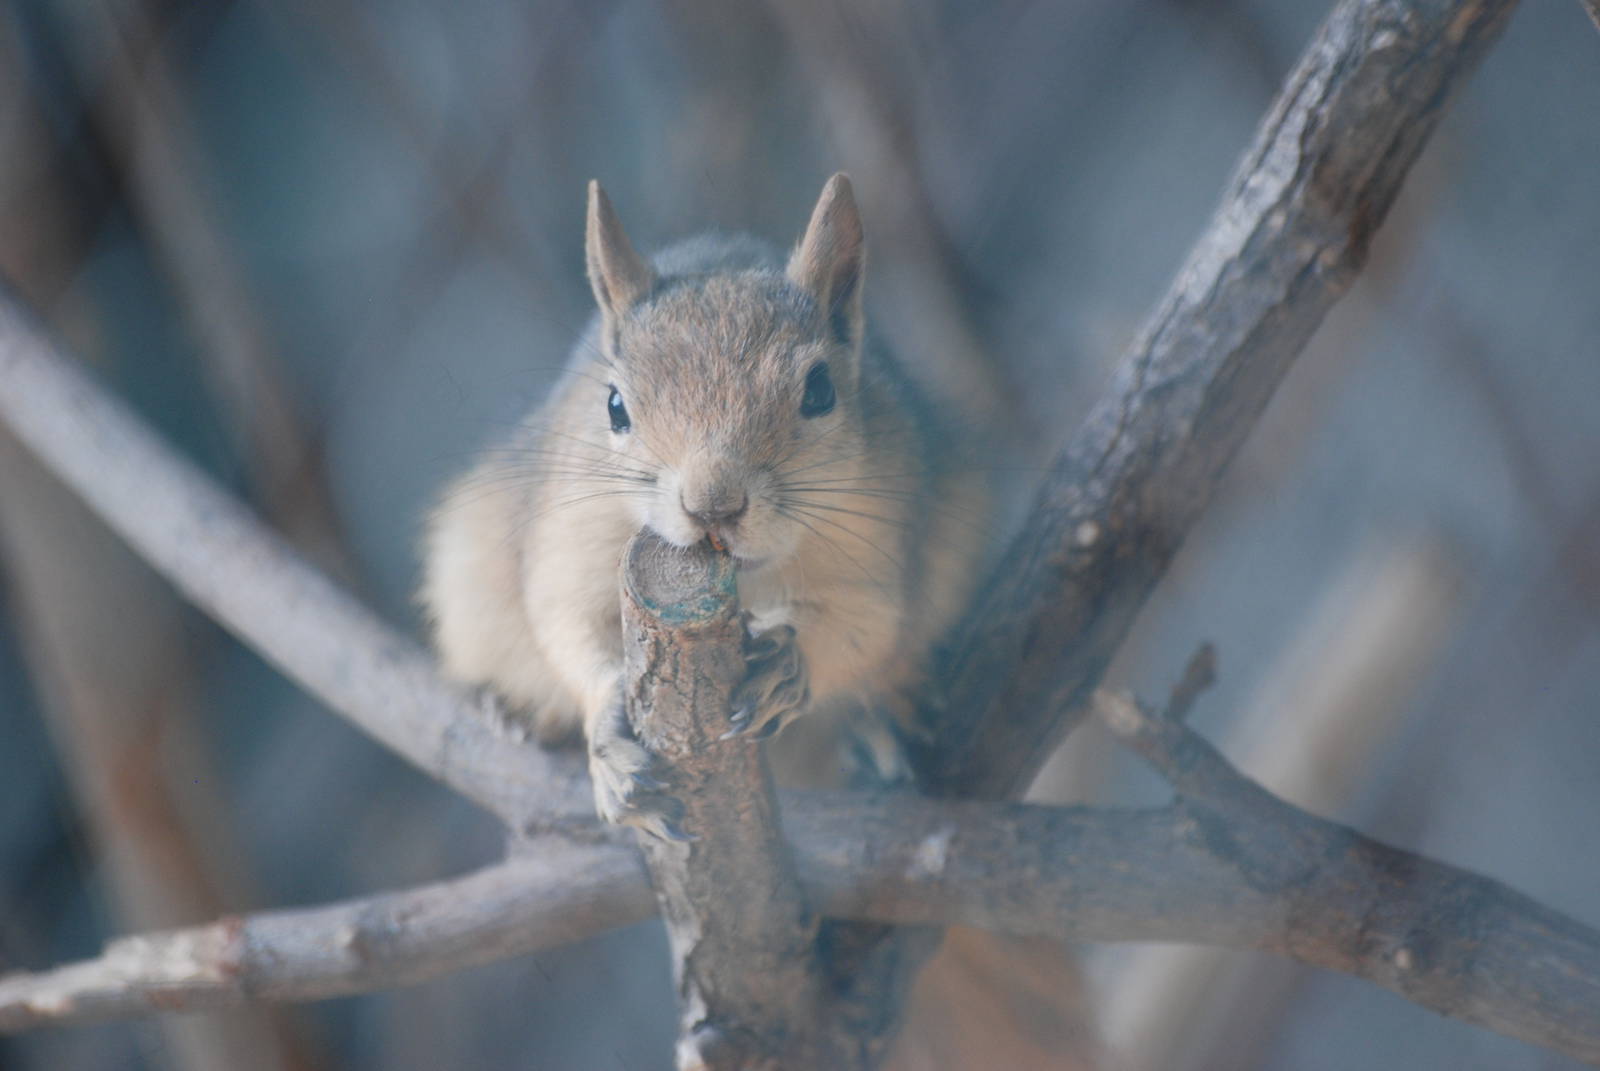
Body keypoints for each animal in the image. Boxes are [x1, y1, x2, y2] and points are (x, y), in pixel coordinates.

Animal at [421, 174, 988, 836]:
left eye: (821, 390)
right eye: (614, 405)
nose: (713, 505)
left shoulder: (875, 538)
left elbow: (866, 626)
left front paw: (789, 665)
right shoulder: (573, 536)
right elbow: (568, 624)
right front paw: (610, 737)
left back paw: (879, 726)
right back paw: (517, 710)